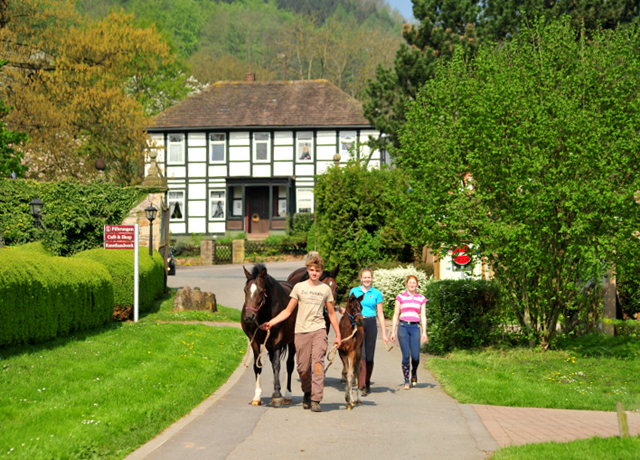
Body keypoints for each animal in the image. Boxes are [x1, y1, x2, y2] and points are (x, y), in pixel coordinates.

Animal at [242, 262, 298, 406]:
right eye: (245, 290)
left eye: (261, 291)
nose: (249, 316)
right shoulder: (255, 340)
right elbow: (257, 366)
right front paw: (257, 397)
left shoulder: (278, 338)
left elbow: (277, 364)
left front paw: (277, 394)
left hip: (292, 341)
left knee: (289, 365)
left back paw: (287, 395)